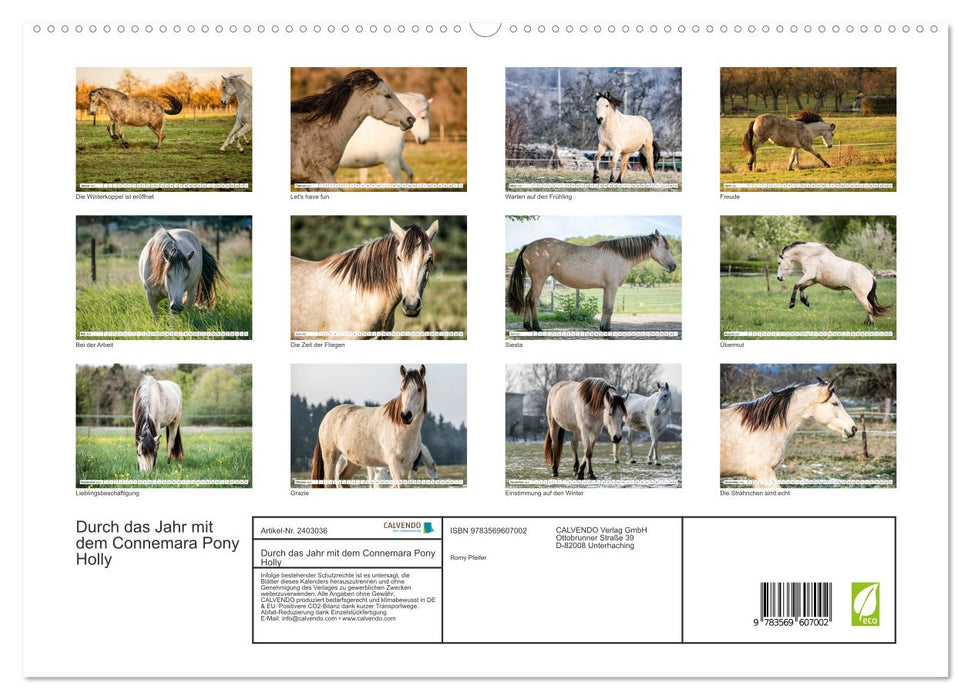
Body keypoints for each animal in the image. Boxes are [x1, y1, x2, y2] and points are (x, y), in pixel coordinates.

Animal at [506, 231, 677, 332]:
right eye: (666, 246)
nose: (674, 266)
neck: (620, 255)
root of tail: (529, 246)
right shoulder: (612, 287)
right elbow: (609, 308)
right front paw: (606, 329)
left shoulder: (606, 288)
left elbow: (604, 307)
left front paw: (602, 327)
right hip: (539, 280)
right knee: (533, 300)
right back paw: (536, 327)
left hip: (535, 281)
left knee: (527, 299)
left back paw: (527, 326)